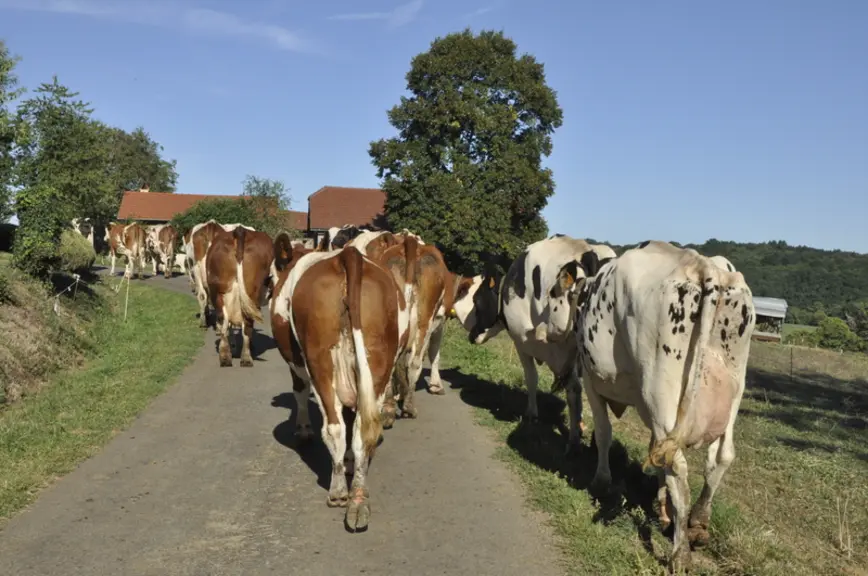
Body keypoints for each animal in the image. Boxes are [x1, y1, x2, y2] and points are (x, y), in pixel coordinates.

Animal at [206, 227, 274, 367]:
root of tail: (240, 230)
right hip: (252, 291)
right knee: (247, 324)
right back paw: (246, 357)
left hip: (217, 290)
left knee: (223, 319)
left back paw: (225, 356)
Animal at [269, 243, 410, 532]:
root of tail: (348, 256)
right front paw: (349, 462)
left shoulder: (296, 363)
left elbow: (299, 391)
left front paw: (303, 431)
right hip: (378, 363)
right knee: (362, 430)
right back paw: (358, 499)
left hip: (320, 362)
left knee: (334, 427)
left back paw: (338, 492)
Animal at [450, 235, 604, 452]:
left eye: (477, 299)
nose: (472, 336)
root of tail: (585, 249)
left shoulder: (523, 343)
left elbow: (532, 378)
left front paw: (532, 414)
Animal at [575, 240, 755, 570]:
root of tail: (702, 266)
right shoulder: (652, 413)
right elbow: (653, 449)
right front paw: (662, 508)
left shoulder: (590, 379)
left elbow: (605, 433)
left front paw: (601, 482)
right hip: (731, 389)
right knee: (720, 456)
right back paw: (697, 523)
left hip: (660, 387)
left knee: (678, 465)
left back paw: (679, 552)